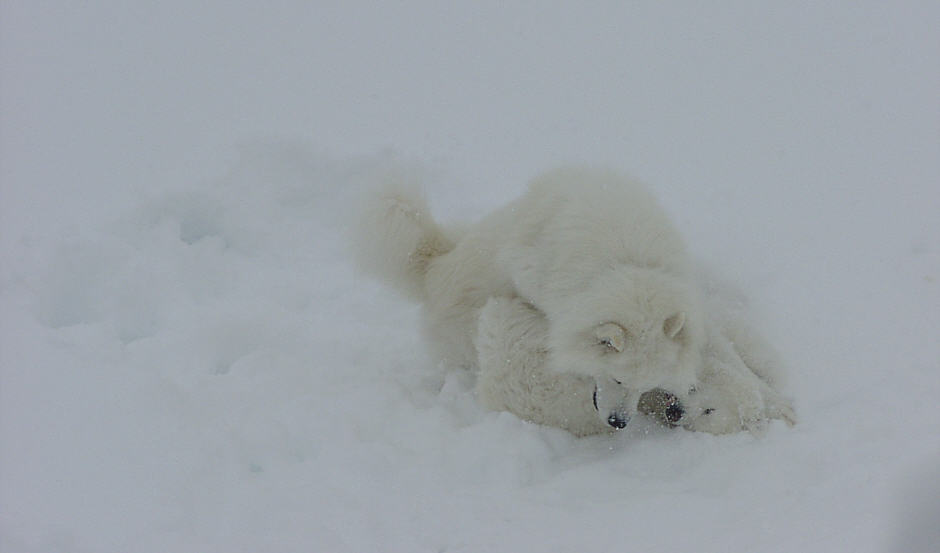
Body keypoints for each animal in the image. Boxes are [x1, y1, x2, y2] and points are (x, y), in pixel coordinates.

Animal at [356, 166, 796, 434]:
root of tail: (433, 267)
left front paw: (777, 405)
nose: (619, 423)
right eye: (615, 378)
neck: (625, 265)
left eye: (644, 384)